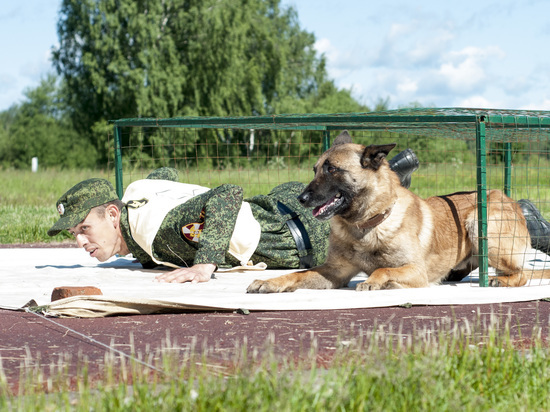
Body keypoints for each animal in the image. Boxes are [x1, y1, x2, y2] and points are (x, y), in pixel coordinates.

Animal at [249, 132, 550, 292]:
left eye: (332, 169)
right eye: (315, 169)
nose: (301, 198)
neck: (366, 225)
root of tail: (510, 200)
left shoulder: (416, 271)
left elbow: (383, 269)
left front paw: (377, 281)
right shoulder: (335, 271)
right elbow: (298, 275)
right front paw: (270, 281)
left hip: (479, 222)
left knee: (522, 273)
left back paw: (500, 280)